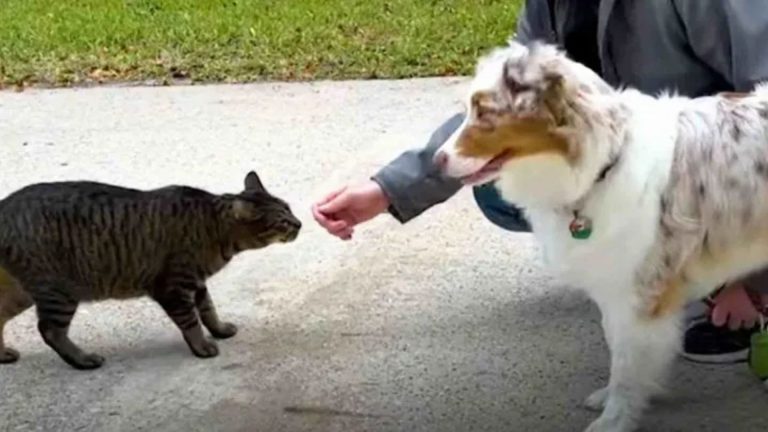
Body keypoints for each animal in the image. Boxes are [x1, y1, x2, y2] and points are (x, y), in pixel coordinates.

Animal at [0, 170, 302, 370]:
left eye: (289, 208)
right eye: (283, 220)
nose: (299, 223)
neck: (214, 227)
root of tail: (5, 205)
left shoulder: (196, 283)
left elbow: (208, 310)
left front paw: (218, 329)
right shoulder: (174, 287)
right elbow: (191, 321)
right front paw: (202, 346)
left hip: (22, 292)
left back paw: (3, 354)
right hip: (59, 291)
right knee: (50, 330)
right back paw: (83, 359)